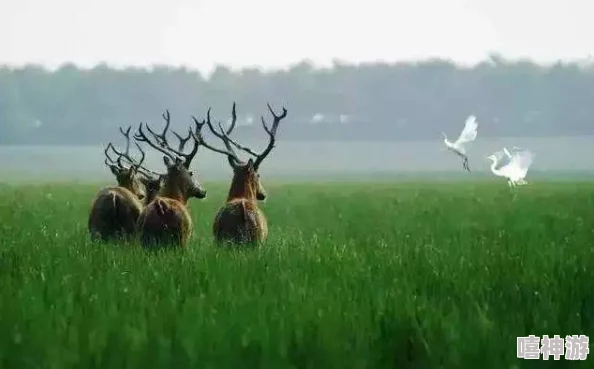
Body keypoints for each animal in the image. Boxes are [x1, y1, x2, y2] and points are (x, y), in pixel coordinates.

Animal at [133, 108, 207, 247]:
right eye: (191, 173)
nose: (203, 191)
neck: (176, 196)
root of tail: (161, 207)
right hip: (180, 237)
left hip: (145, 238)